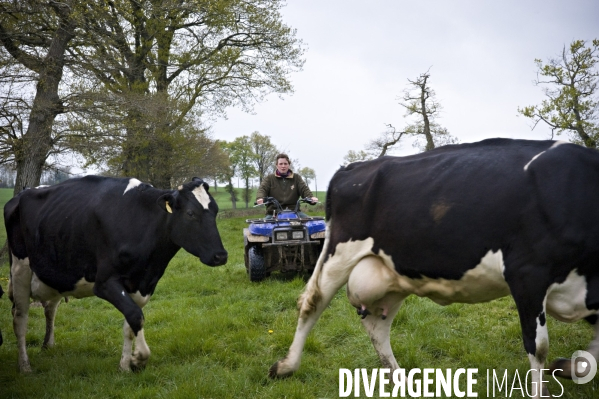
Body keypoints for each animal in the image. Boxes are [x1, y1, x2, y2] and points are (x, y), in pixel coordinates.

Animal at [4, 177, 227, 374]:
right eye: (190, 213)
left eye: (215, 211)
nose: (221, 255)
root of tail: (21, 194)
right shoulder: (105, 283)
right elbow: (136, 316)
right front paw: (139, 359)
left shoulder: (141, 284)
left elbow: (130, 323)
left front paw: (125, 366)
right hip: (20, 269)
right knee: (20, 319)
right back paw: (24, 366)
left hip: (57, 271)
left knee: (50, 309)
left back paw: (48, 345)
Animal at [270, 139, 599, 398]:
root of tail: (351, 168)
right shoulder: (527, 274)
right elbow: (538, 346)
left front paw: (570, 366)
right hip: (340, 252)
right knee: (312, 303)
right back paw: (286, 366)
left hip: (393, 273)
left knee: (377, 325)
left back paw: (400, 379)